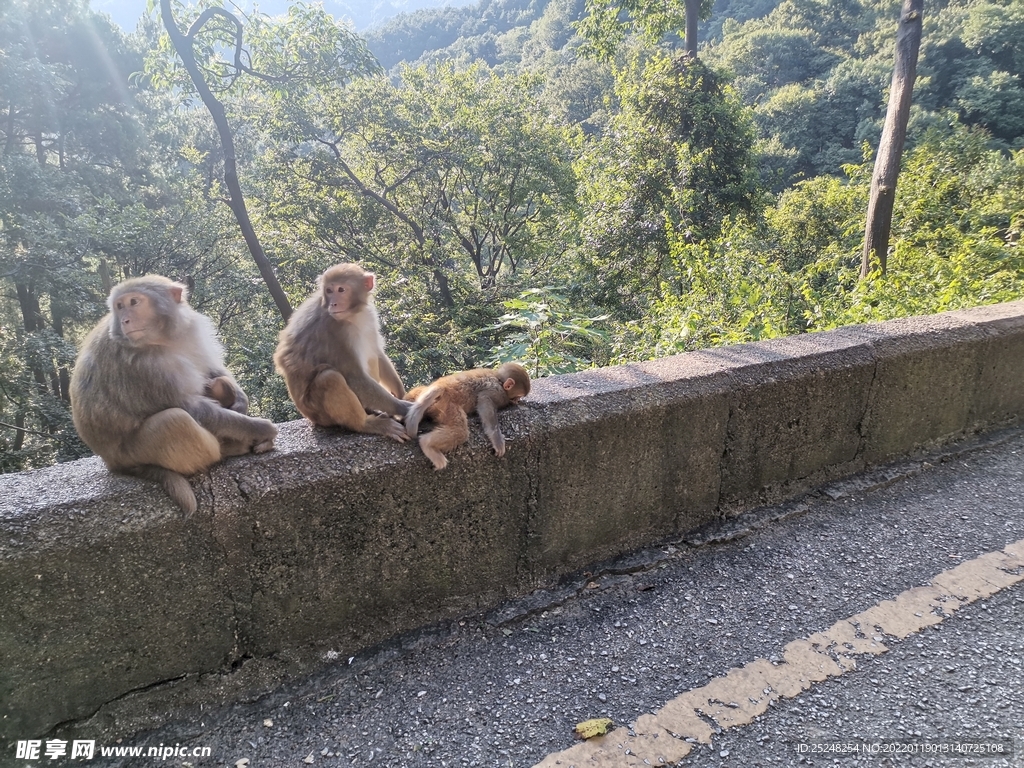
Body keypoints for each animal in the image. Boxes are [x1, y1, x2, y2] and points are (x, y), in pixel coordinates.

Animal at [69, 276, 278, 518]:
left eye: (133, 302)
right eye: (119, 306)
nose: (125, 320)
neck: (162, 339)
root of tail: (113, 464)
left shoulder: (190, 331)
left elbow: (211, 368)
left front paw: (242, 402)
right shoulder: (146, 368)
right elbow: (194, 409)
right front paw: (261, 428)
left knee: (216, 386)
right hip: (132, 453)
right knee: (175, 421)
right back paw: (230, 449)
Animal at [274, 264, 413, 444]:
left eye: (341, 289)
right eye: (329, 290)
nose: (333, 304)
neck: (353, 314)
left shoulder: (368, 317)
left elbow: (376, 352)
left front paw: (402, 395)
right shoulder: (335, 331)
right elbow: (355, 378)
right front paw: (405, 407)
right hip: (319, 414)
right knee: (329, 377)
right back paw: (366, 424)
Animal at [401, 364, 532, 473]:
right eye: (517, 397)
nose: (517, 401)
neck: (498, 379)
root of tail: (441, 386)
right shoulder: (497, 392)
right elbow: (485, 401)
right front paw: (497, 440)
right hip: (447, 405)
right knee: (460, 432)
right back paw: (426, 444)